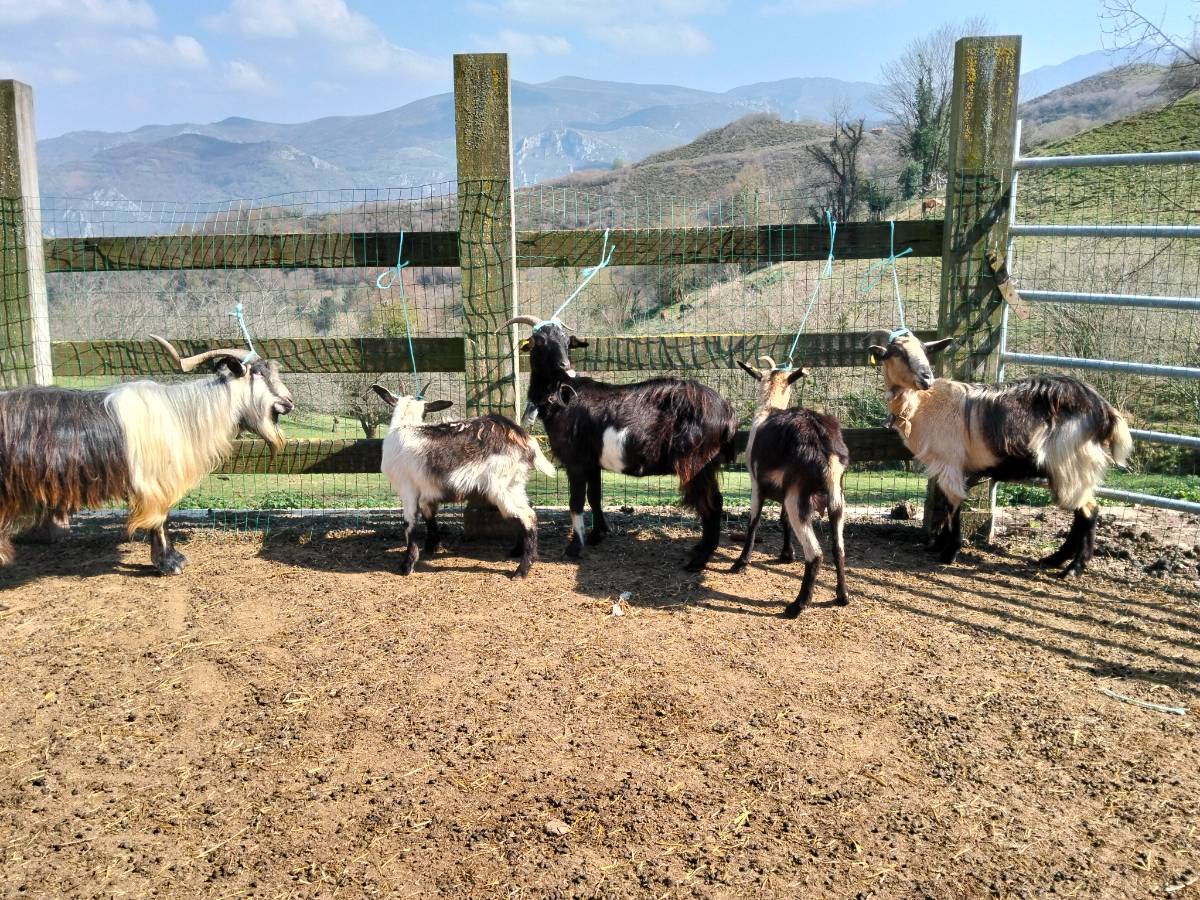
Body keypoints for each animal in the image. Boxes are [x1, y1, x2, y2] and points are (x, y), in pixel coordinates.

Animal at [0, 337, 294, 575]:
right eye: (258, 374)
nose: (289, 402)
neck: (182, 414)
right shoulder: (154, 482)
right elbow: (159, 520)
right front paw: (169, 562)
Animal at [371, 384, 555, 578]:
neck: (404, 427)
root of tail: (525, 439)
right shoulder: (428, 492)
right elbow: (429, 515)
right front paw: (433, 546)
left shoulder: (407, 489)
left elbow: (409, 524)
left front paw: (407, 565)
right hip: (515, 485)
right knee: (525, 511)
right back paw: (516, 551)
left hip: (503, 487)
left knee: (528, 516)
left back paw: (522, 570)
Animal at [498, 316, 738, 571]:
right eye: (540, 341)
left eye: (565, 341)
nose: (564, 365)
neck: (563, 396)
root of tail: (728, 413)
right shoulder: (592, 463)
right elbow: (594, 496)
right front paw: (597, 535)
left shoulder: (576, 461)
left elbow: (576, 502)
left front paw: (574, 547)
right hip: (707, 464)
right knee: (714, 501)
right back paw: (700, 549)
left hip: (697, 462)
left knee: (712, 504)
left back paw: (699, 561)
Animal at [731, 357, 849, 616]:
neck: (767, 409)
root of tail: (823, 444)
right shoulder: (785, 491)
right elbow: (783, 520)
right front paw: (787, 554)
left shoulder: (756, 484)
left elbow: (753, 521)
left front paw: (741, 562)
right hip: (836, 498)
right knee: (838, 547)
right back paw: (842, 595)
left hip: (800, 497)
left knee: (815, 553)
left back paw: (797, 605)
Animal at [867, 330, 1133, 576]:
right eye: (898, 353)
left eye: (925, 350)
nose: (926, 378)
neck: (924, 404)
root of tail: (1105, 411)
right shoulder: (945, 466)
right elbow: (945, 503)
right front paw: (939, 544)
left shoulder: (951, 462)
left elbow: (954, 503)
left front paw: (950, 551)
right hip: (1069, 469)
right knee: (1080, 512)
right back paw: (1053, 560)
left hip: (1072, 464)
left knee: (1089, 512)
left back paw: (1073, 568)